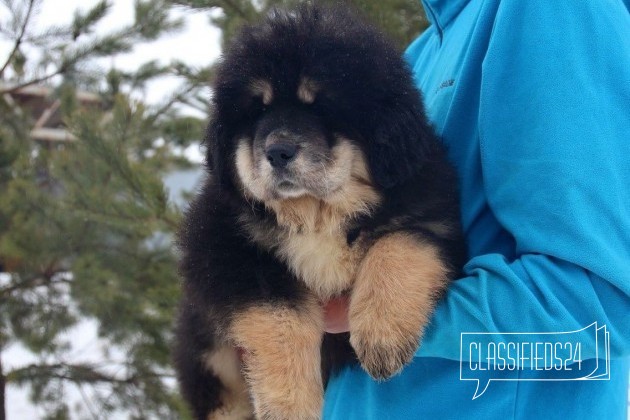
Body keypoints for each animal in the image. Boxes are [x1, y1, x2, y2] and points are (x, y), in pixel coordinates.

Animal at [175, 4, 466, 420]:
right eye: (258, 110)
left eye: (322, 107)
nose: (277, 151)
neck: (316, 213)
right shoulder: (226, 251)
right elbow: (279, 318)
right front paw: (289, 405)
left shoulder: (432, 218)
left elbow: (396, 247)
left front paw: (383, 335)